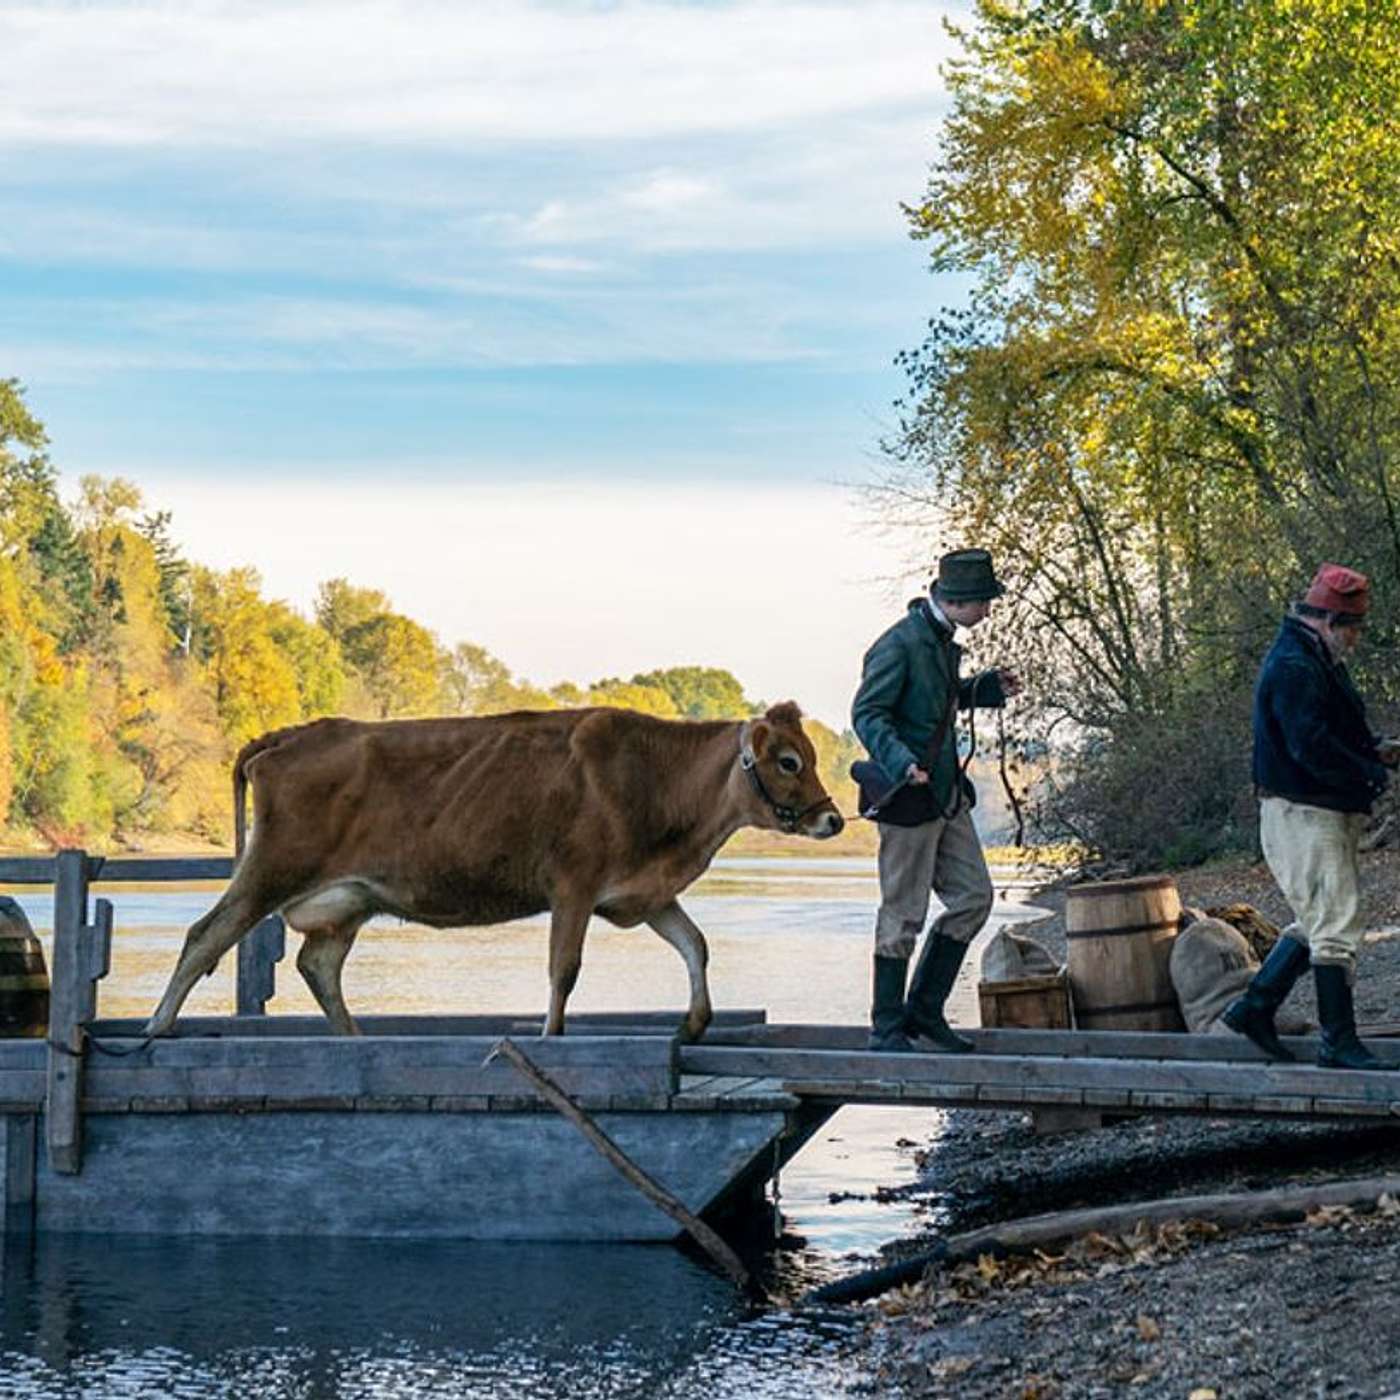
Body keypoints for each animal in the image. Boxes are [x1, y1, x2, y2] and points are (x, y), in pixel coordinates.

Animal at [143, 700, 840, 1041]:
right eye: (786, 761)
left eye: (806, 755)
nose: (833, 819)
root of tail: (290, 734)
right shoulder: (574, 884)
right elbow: (565, 969)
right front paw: (551, 1035)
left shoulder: (642, 893)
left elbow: (695, 945)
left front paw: (695, 1022)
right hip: (272, 868)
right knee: (205, 935)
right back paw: (156, 1028)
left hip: (348, 900)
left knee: (318, 965)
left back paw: (354, 1038)